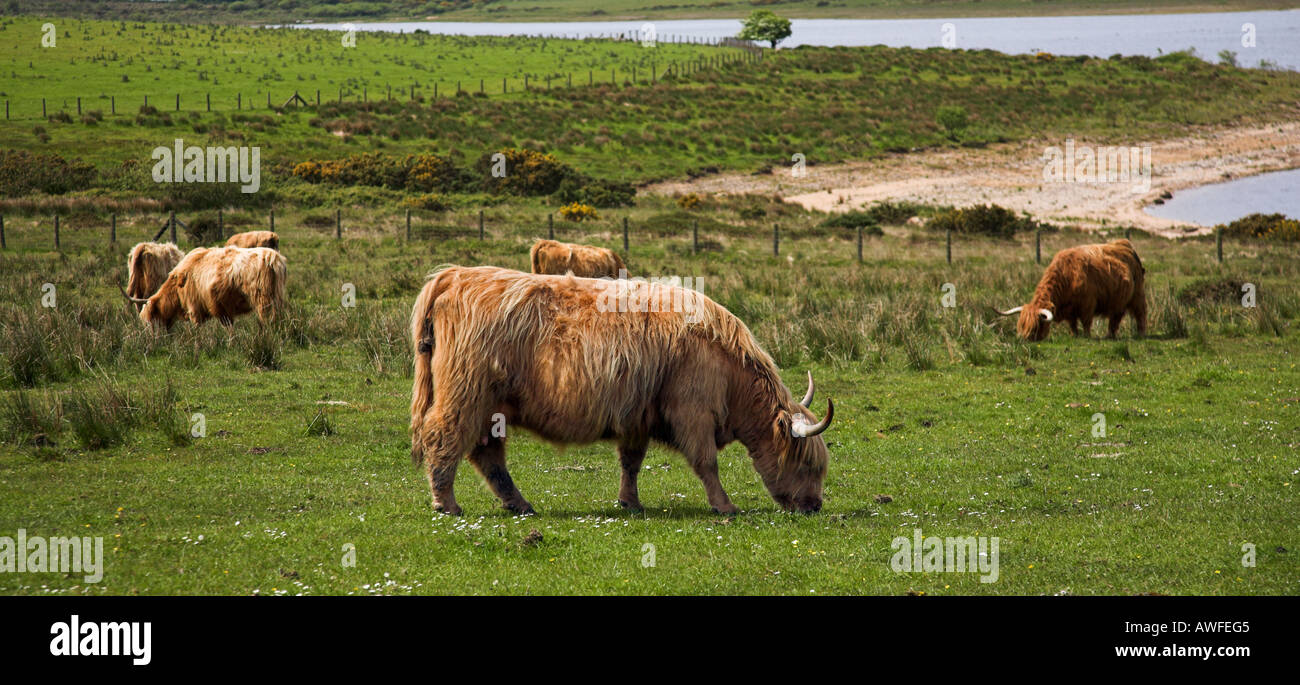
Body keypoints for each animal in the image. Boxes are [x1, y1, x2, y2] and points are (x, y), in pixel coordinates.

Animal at [119, 246, 286, 330]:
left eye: (149, 322)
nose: (151, 342)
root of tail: (273, 258)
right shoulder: (224, 310)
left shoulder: (195, 310)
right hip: (277, 298)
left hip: (263, 301)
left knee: (267, 320)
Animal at [409, 266, 835, 516]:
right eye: (808, 465)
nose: (814, 506)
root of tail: (453, 276)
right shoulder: (692, 411)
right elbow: (706, 463)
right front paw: (724, 506)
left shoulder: (637, 415)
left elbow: (631, 461)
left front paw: (630, 503)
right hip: (466, 394)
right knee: (444, 436)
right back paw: (447, 505)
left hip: (491, 407)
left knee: (488, 455)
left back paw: (520, 504)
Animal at [996, 238, 1147, 341]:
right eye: (1021, 325)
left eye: (1036, 326)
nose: (1024, 339)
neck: (1067, 275)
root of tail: (1125, 244)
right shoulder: (1069, 310)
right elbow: (1073, 324)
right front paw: (1075, 335)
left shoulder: (1088, 303)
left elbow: (1086, 322)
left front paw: (1087, 336)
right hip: (1118, 300)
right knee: (1116, 317)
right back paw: (1110, 335)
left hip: (1138, 294)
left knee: (1140, 313)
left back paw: (1140, 333)